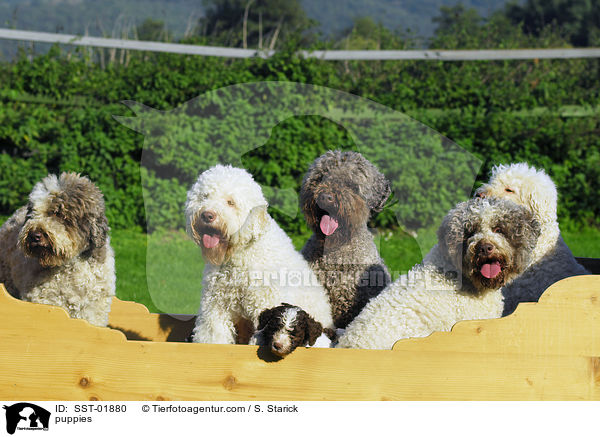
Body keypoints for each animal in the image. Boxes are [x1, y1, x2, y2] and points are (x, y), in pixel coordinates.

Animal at [0, 172, 115, 326]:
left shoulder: (93, 308)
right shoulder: (46, 302)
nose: (34, 235)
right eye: (32, 214)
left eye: (58, 213)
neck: (70, 265)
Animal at [185, 164, 332, 348]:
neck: (239, 255)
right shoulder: (215, 307)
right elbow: (213, 336)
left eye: (230, 202)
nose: (207, 215)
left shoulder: (265, 303)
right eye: (205, 196)